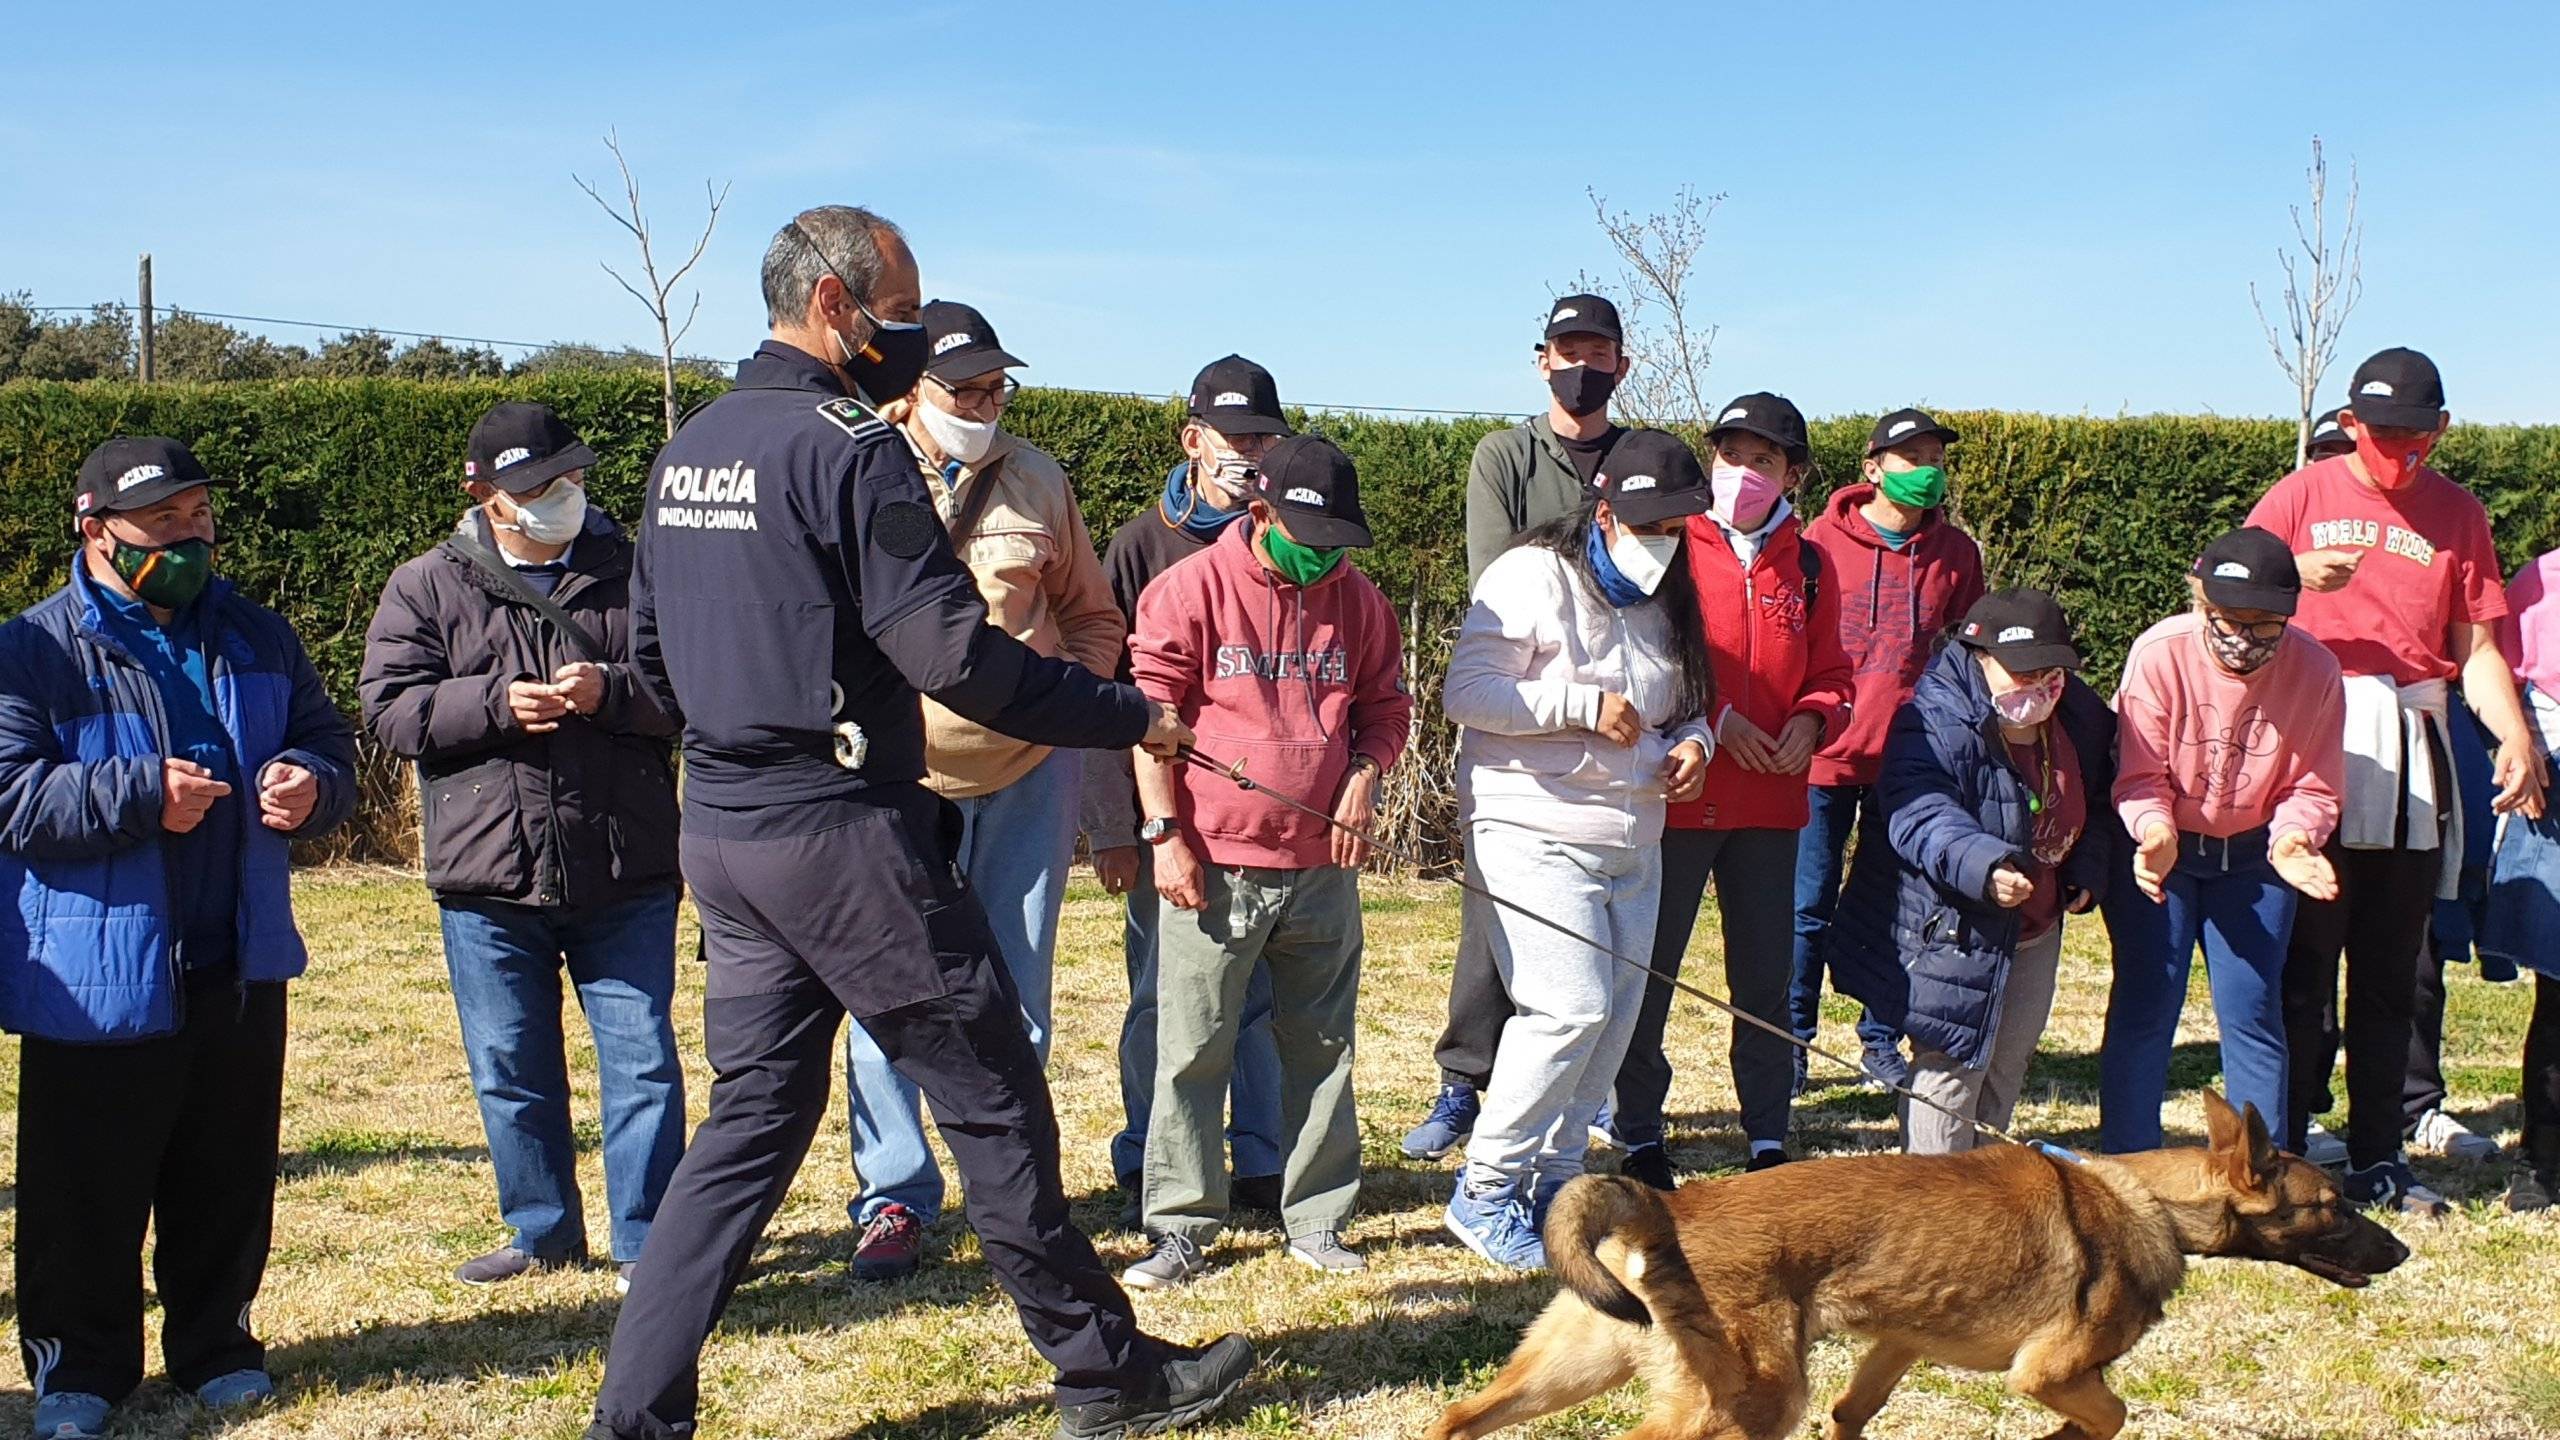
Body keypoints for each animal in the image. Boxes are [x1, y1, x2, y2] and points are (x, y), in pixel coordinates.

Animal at [1433, 1086, 2406, 1434]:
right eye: (2333, 1205)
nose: (2400, 1248)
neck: (2151, 1200)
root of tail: (1662, 1207)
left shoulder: (1894, 1349)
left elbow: (1852, 1416)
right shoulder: (2051, 1374)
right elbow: (2111, 1415)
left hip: (1575, 1366)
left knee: (1459, 1420)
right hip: (1750, 1403)